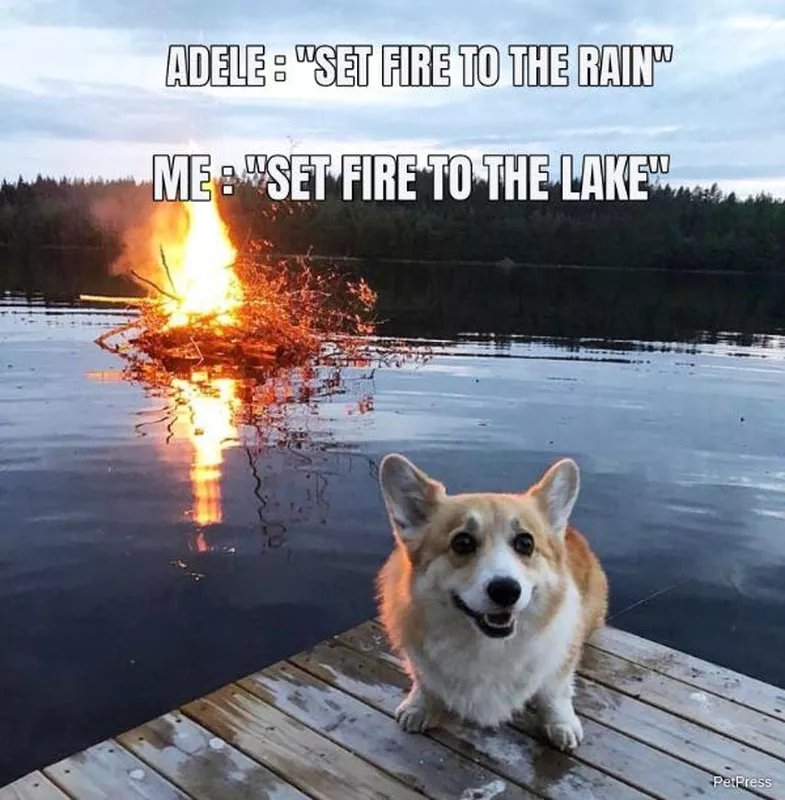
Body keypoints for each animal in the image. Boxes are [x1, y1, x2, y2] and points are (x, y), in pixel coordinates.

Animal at [376, 454, 608, 752]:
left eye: (525, 543)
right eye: (462, 542)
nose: (506, 590)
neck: (487, 645)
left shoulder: (562, 654)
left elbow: (554, 691)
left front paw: (561, 724)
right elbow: (425, 681)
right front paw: (419, 707)